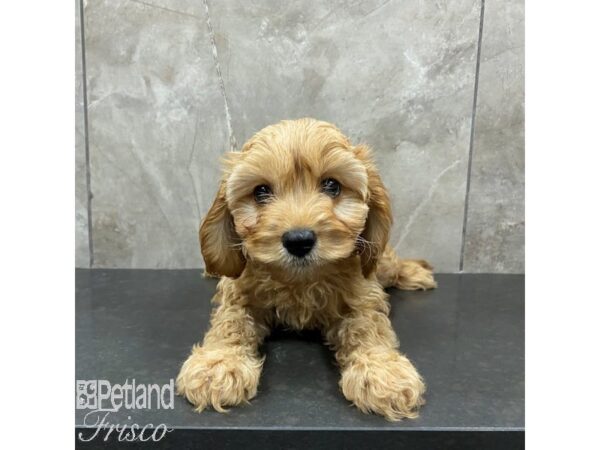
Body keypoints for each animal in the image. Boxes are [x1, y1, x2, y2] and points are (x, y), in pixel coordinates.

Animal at [177, 118, 436, 420]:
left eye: (332, 185)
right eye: (261, 191)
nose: (299, 240)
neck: (299, 281)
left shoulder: (362, 294)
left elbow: (367, 326)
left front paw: (382, 371)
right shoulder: (238, 294)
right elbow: (231, 322)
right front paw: (218, 364)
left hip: (382, 262)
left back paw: (416, 272)